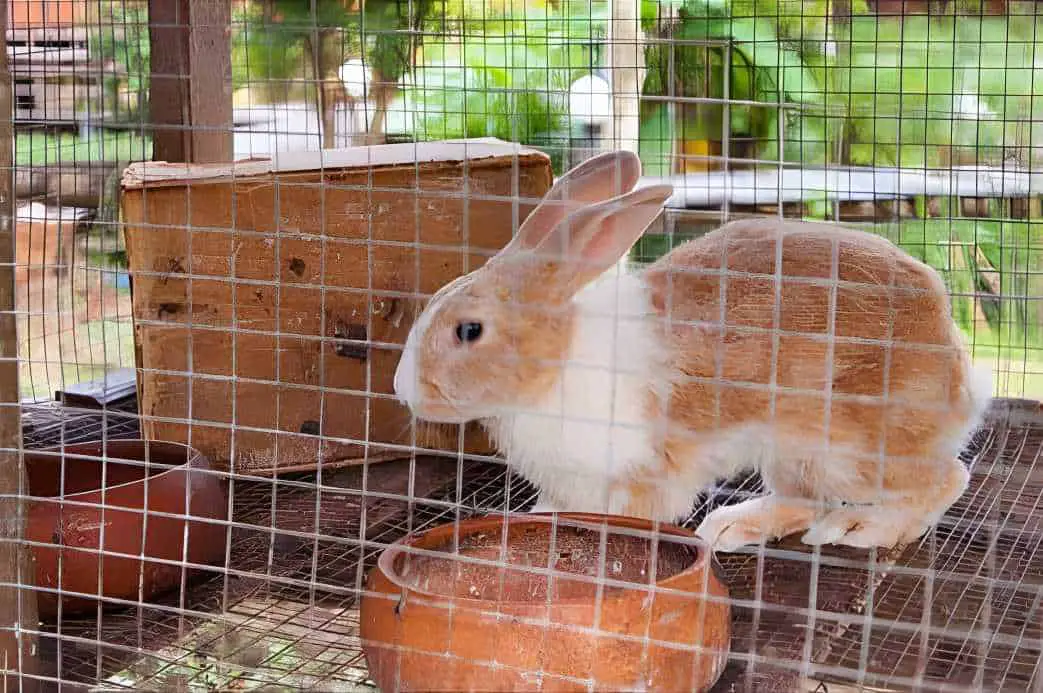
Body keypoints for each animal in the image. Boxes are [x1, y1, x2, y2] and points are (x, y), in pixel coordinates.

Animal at [392, 149, 984, 551]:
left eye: (470, 331)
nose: (402, 390)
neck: (556, 364)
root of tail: (953, 354)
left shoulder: (640, 472)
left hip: (851, 445)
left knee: (946, 479)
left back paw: (864, 527)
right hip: (793, 453)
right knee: (802, 501)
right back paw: (732, 527)